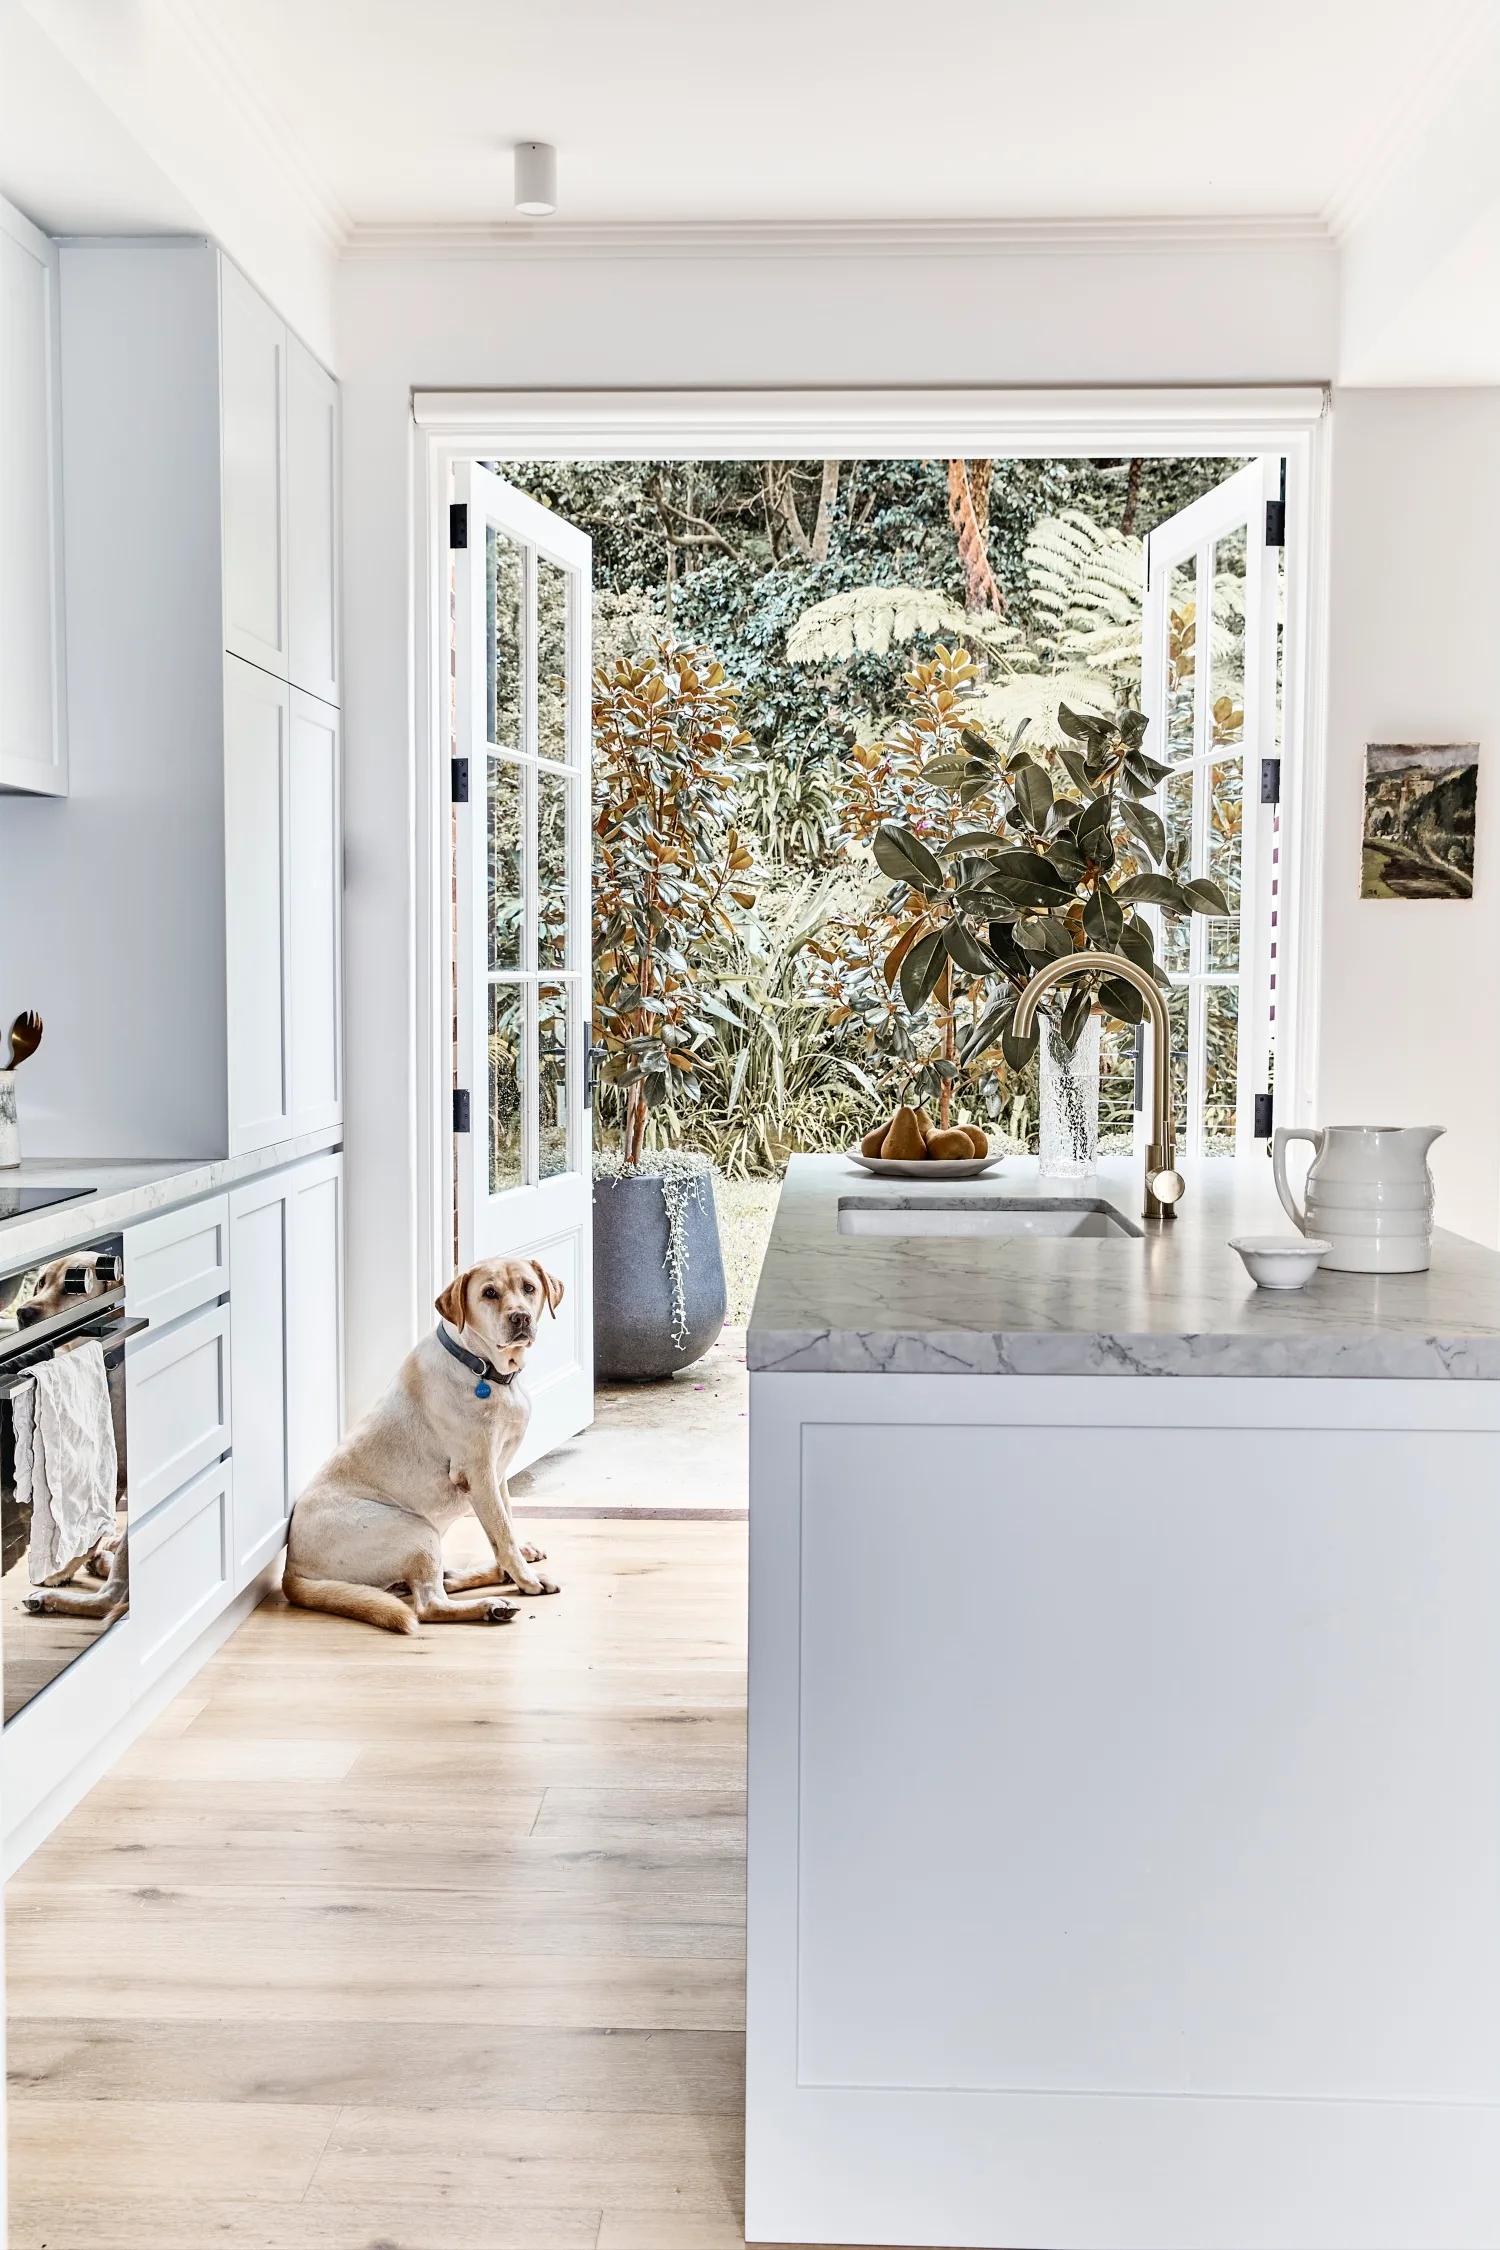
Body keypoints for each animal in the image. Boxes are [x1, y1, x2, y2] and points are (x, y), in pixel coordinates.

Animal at [283, 1251, 562, 1638]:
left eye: (529, 1288)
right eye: (489, 1293)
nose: (520, 1316)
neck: (483, 1368)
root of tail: (290, 1570)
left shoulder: (499, 1471)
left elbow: (505, 1522)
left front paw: (519, 1563)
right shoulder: (479, 1474)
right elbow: (502, 1533)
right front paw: (527, 1579)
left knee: (433, 1584)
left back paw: (487, 1577)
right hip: (417, 1532)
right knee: (429, 1604)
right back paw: (490, 1604)